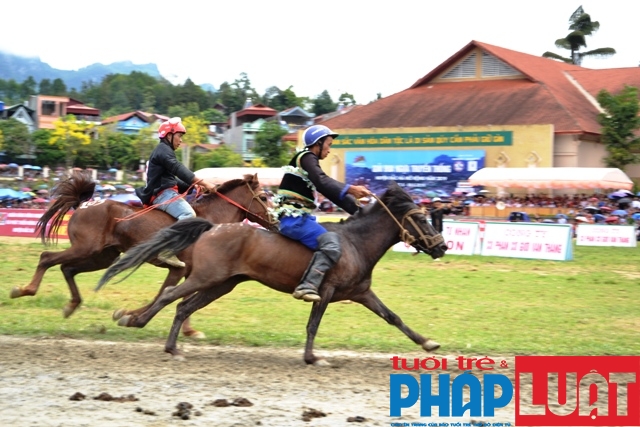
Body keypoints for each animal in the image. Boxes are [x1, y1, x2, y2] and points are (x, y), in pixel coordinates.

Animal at [11, 171, 272, 338]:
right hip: (85, 249)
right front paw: (133, 316)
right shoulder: (182, 269)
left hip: (103, 256)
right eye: (264, 197)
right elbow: (166, 296)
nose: (274, 221)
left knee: (67, 268)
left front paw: (131, 315)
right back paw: (24, 290)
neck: (210, 220)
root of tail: (84, 205)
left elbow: (169, 296)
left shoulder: (185, 272)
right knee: (47, 257)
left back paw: (71, 305)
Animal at [97, 182, 448, 366]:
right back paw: (141, 325)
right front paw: (312, 357)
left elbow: (393, 317)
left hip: (221, 284)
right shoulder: (326, 291)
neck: (354, 243)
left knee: (183, 306)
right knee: (171, 296)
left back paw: (170, 344)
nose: (442, 246)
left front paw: (428, 343)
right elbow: (313, 325)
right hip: (205, 278)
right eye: (422, 218)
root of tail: (211, 227)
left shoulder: (361, 293)